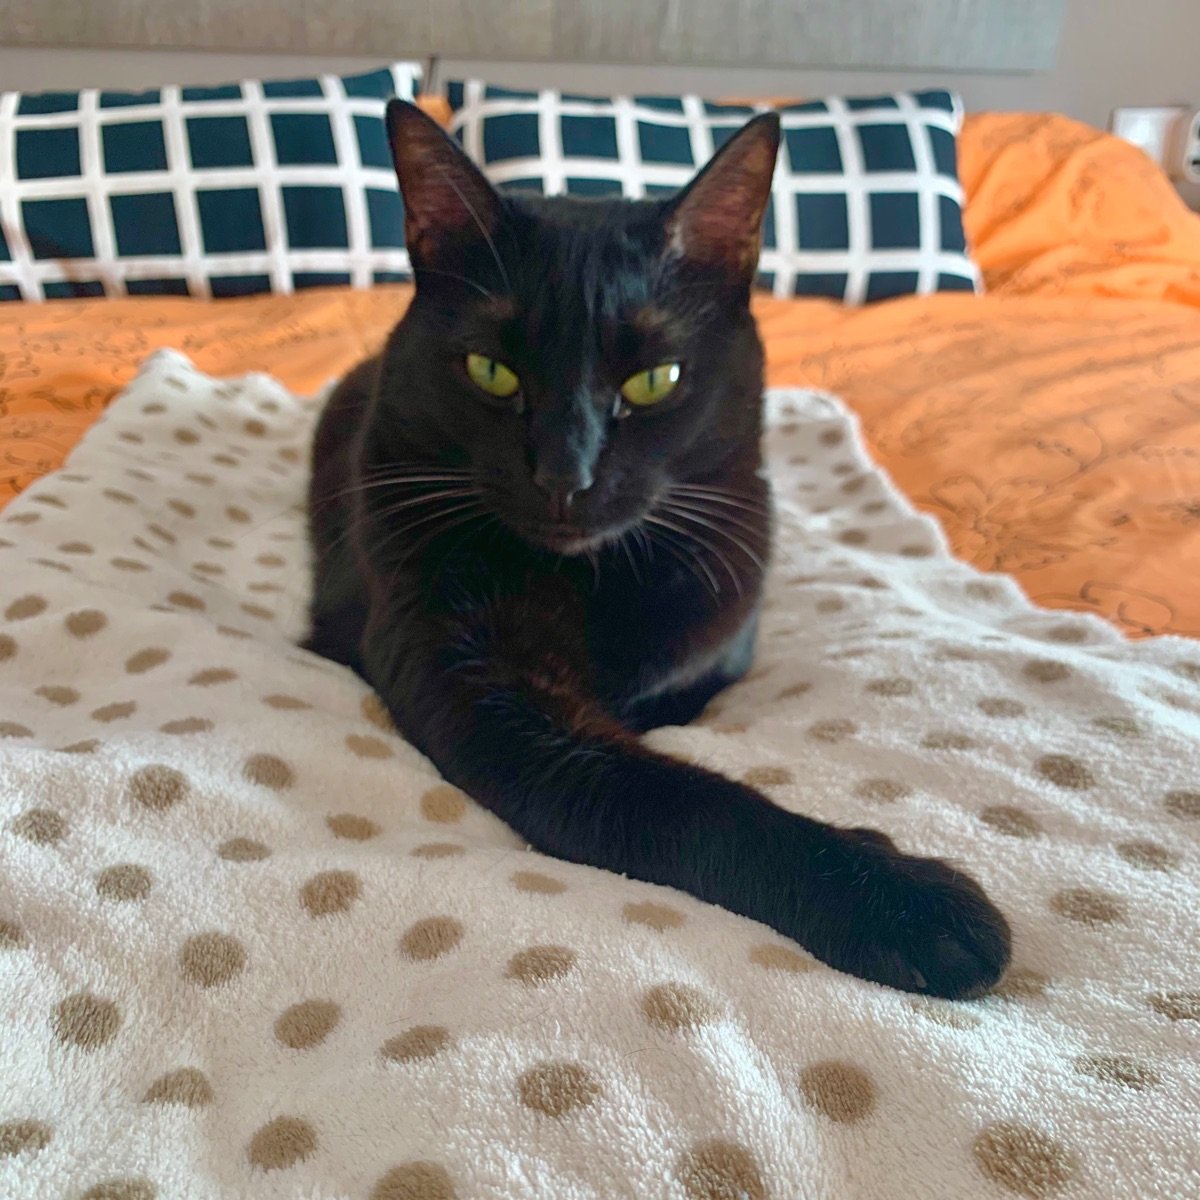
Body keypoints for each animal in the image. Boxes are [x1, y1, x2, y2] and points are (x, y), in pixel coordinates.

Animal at [306, 99, 1011, 999]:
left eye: (654, 381)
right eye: (491, 371)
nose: (564, 475)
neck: (593, 578)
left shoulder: (724, 619)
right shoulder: (469, 673)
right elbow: (682, 801)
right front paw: (914, 906)